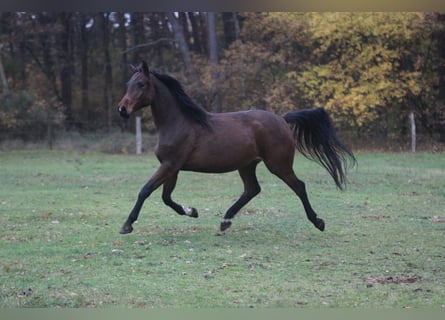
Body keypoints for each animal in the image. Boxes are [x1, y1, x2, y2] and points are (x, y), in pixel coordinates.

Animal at [116, 60, 356, 235]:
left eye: (141, 84)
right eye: (128, 84)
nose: (122, 109)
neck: (179, 122)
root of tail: (281, 119)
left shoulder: (169, 165)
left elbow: (145, 190)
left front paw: (127, 225)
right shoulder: (172, 168)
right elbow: (166, 198)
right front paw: (192, 211)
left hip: (278, 165)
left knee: (299, 186)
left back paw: (318, 222)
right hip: (247, 165)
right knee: (252, 189)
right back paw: (225, 220)